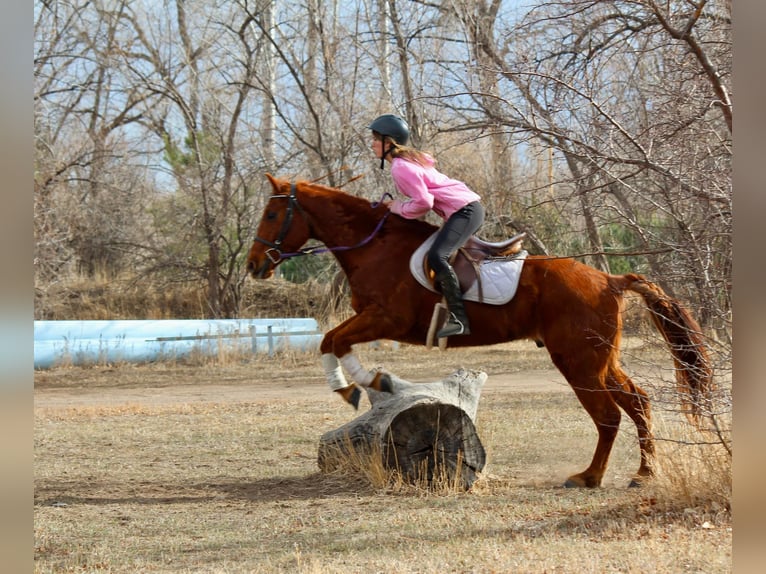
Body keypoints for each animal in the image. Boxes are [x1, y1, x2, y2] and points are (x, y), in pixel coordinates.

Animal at [246, 174, 712, 488]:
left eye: (271, 213)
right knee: (638, 402)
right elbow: (332, 340)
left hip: (578, 362)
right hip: (600, 360)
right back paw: (643, 473)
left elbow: (332, 339)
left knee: (609, 415)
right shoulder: (376, 321)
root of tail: (609, 279)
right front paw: (371, 382)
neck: (373, 246)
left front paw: (359, 385)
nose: (254, 265)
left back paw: (590, 477)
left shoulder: (387, 319)